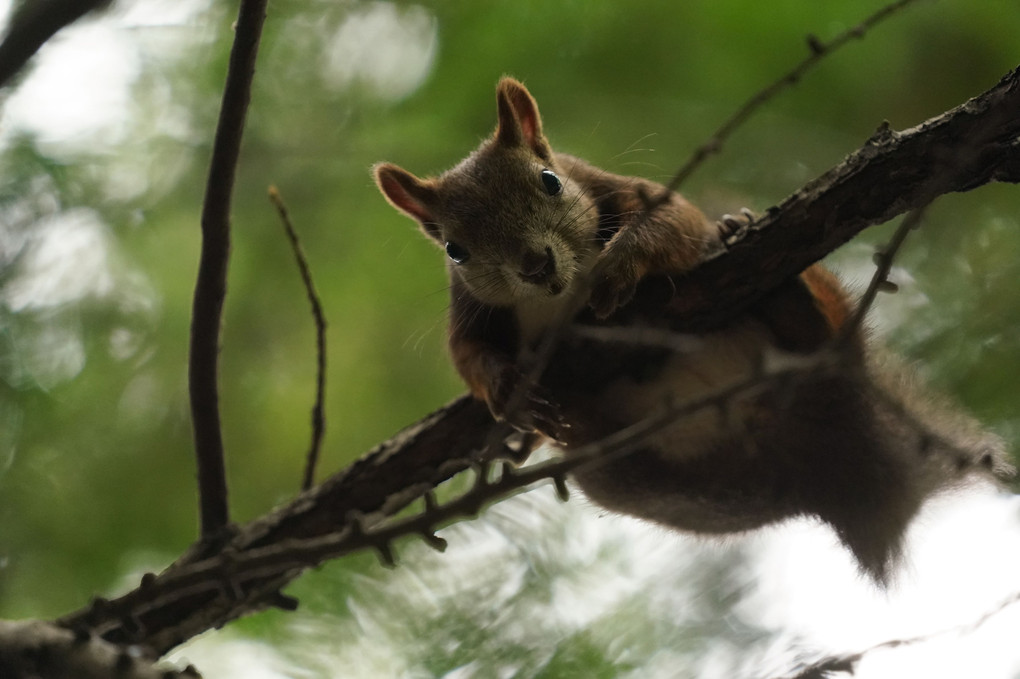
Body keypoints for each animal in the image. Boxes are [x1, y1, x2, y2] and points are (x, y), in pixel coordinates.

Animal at [369, 75, 1011, 583]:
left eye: (549, 180)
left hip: (824, 324)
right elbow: (467, 354)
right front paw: (504, 387)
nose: (535, 265)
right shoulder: (470, 310)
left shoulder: (629, 193)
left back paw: (774, 278)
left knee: (820, 328)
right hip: (662, 484)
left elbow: (670, 226)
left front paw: (621, 264)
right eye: (454, 248)